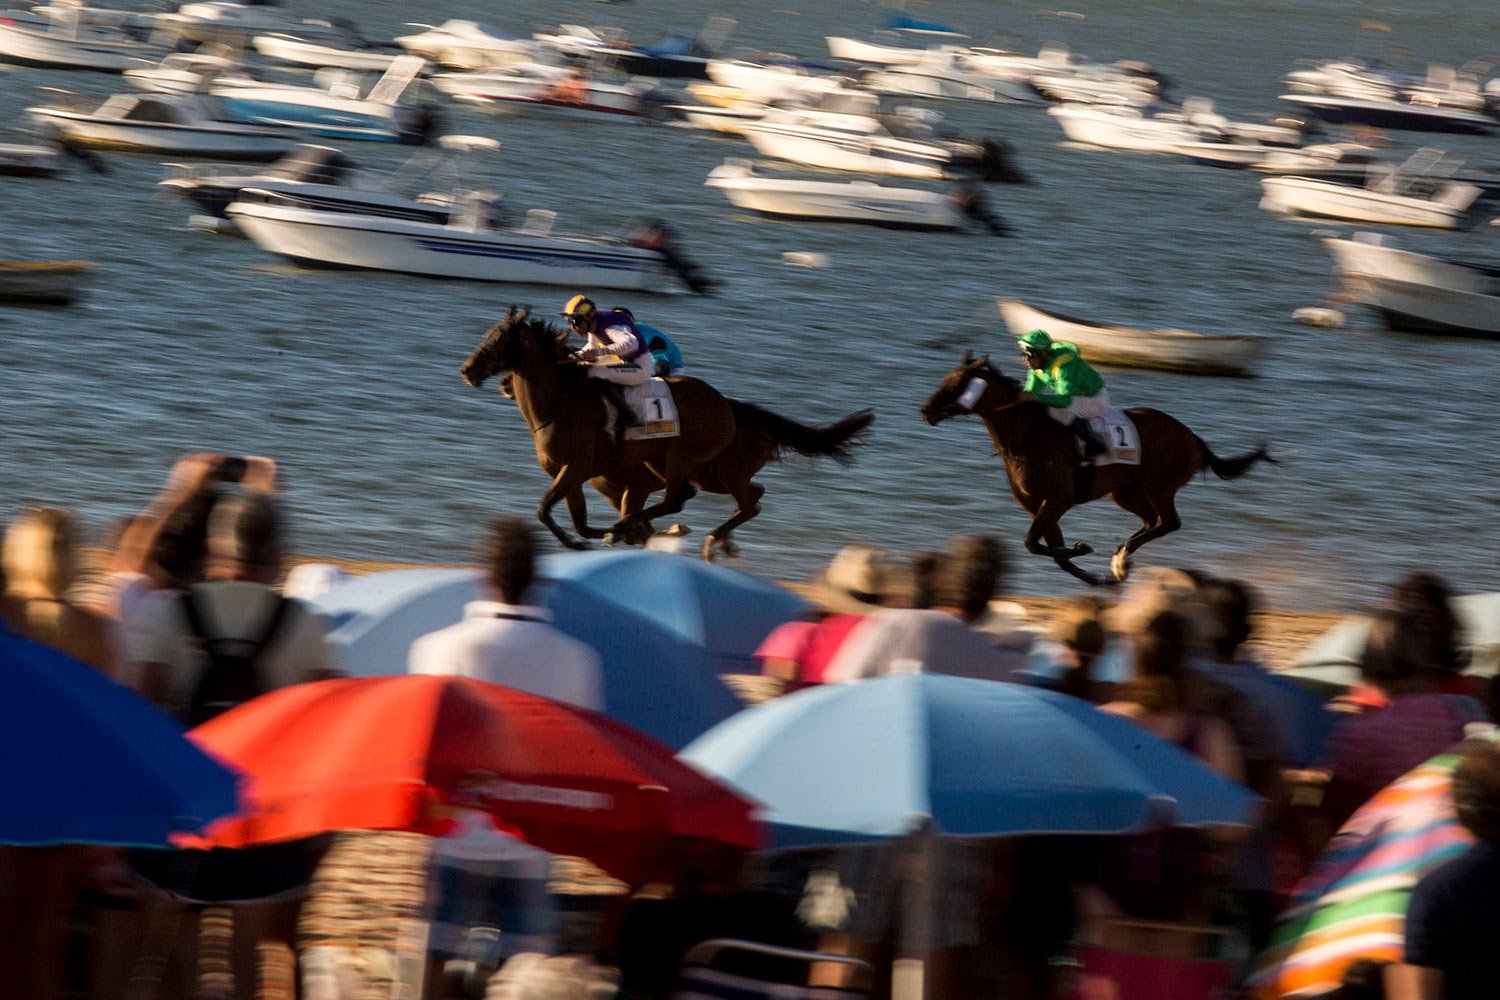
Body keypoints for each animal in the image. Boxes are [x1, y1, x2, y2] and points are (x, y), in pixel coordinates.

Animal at [462, 307, 876, 554]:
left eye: (500, 340)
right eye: (486, 334)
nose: (467, 370)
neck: (559, 401)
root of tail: (728, 405)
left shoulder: (576, 468)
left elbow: (545, 510)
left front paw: (613, 533)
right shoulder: (574, 475)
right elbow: (573, 519)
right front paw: (605, 535)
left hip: (685, 457)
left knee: (685, 498)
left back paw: (685, 533)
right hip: (702, 471)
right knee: (749, 497)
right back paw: (709, 537)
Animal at [918, 352, 1272, 587]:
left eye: (957, 384)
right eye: (944, 380)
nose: (925, 411)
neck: (1029, 434)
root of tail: (1194, 438)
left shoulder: (1057, 500)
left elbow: (1034, 543)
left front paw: (1083, 548)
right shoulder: (1039, 506)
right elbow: (1051, 552)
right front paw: (1093, 573)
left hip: (1159, 485)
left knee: (1169, 522)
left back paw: (1121, 560)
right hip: (1126, 492)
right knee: (1151, 521)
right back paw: (1120, 562)